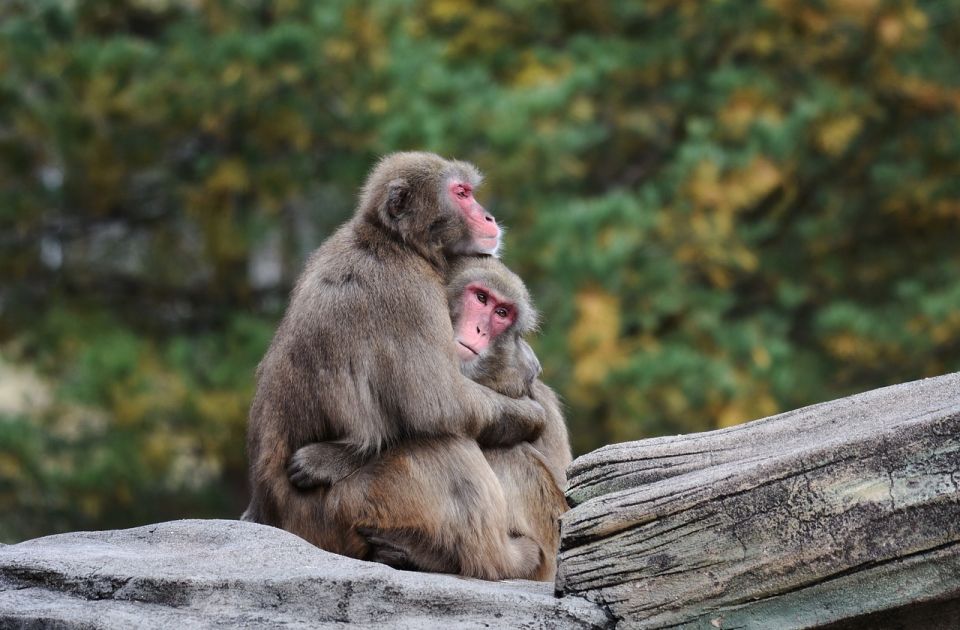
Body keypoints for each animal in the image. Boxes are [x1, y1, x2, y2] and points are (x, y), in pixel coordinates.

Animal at [240, 152, 548, 564]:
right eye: (462, 193)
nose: (488, 216)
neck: (394, 241)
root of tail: (272, 510)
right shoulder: (409, 291)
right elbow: (439, 404)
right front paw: (532, 414)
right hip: (343, 512)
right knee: (443, 444)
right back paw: (501, 558)